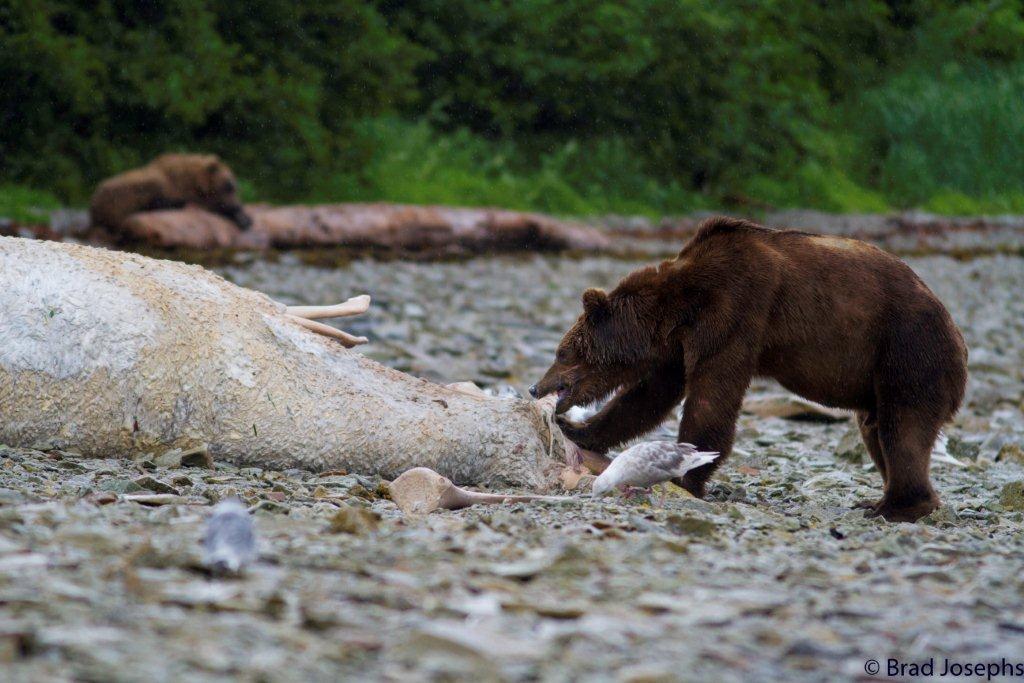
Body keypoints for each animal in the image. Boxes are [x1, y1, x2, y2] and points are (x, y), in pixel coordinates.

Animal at [88, 153, 251, 233]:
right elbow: (211, 205)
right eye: (228, 185)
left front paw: (246, 218)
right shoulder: (184, 189)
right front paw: (240, 217)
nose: (237, 205)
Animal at [532, 219, 962, 524]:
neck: (680, 305)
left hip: (907, 351)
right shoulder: (680, 343)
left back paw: (895, 506)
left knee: (902, 429)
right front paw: (580, 429)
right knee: (876, 431)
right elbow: (648, 395)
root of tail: (956, 333)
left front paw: (687, 475)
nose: (538, 387)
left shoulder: (736, 310)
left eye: (563, 351)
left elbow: (712, 395)